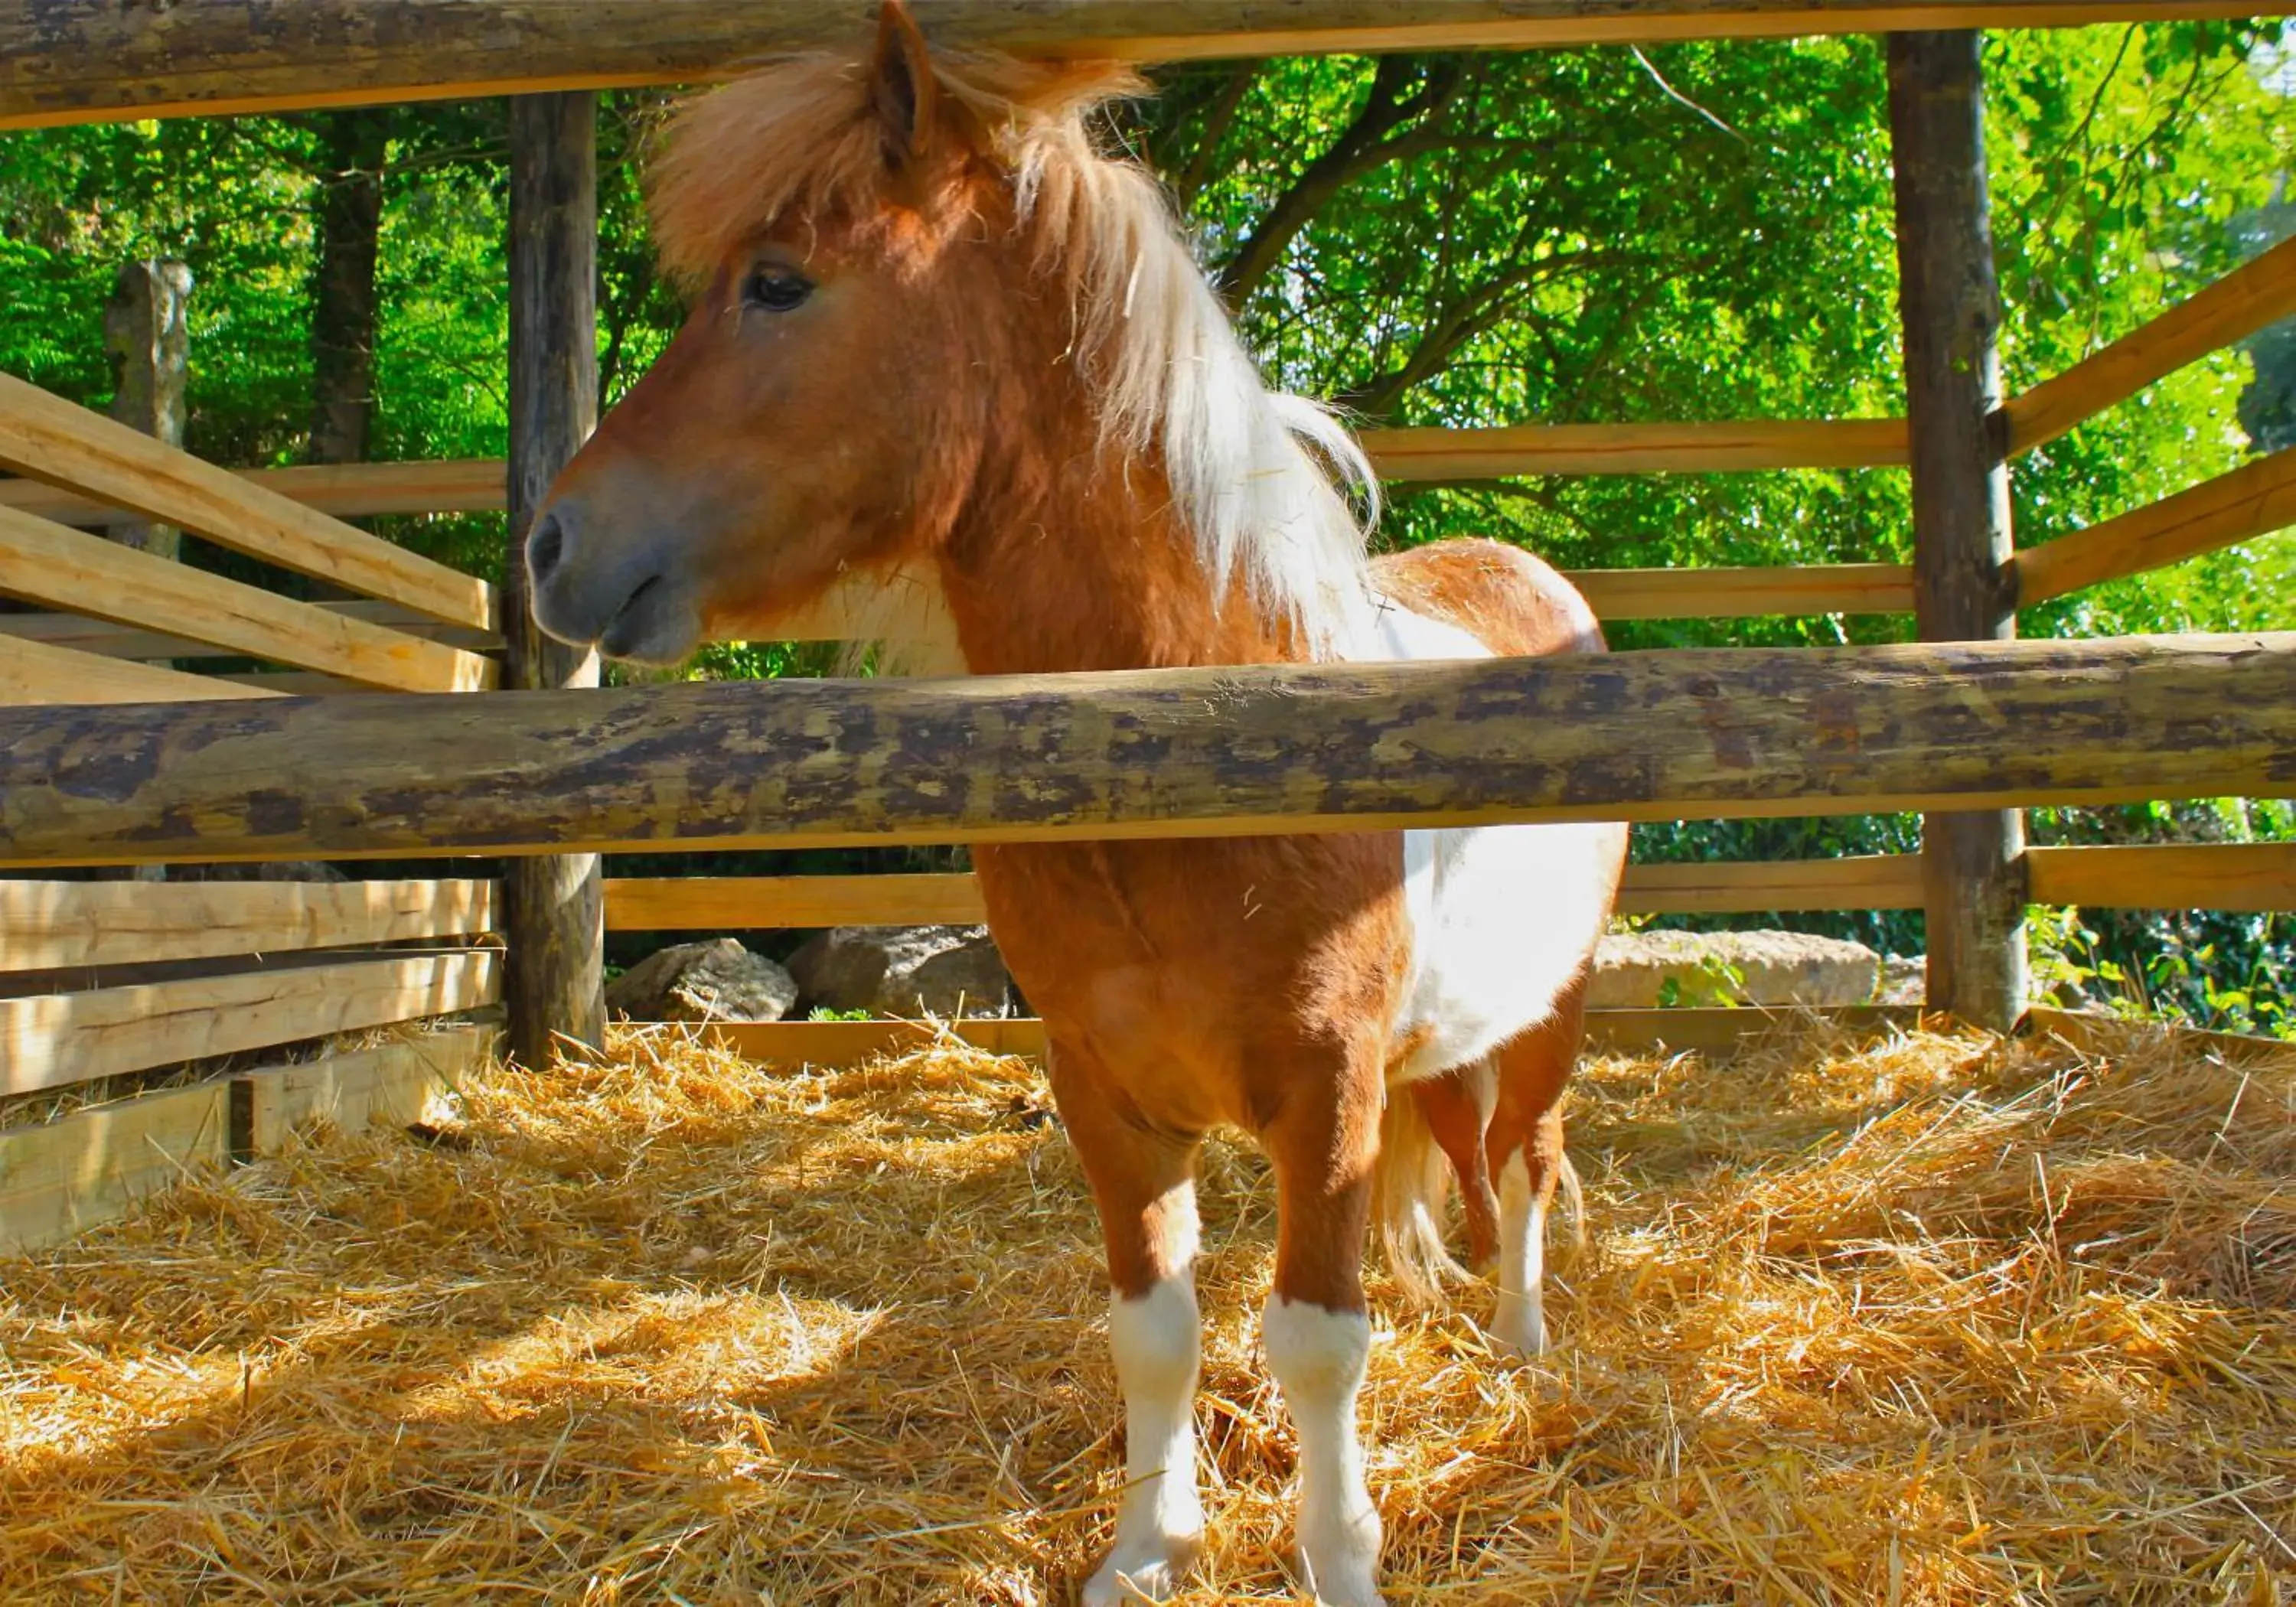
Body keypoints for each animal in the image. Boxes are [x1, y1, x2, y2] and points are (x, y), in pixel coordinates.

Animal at [528, 9, 1626, 1598]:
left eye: (779, 282)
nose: (554, 545)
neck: (1194, 760)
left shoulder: (1327, 1095)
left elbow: (1316, 1343)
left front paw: (1336, 1557)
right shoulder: (1105, 1092)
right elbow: (1155, 1330)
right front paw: (1147, 1552)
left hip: (1554, 1011)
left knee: (1530, 1167)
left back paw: (1527, 1347)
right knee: (1478, 1169)